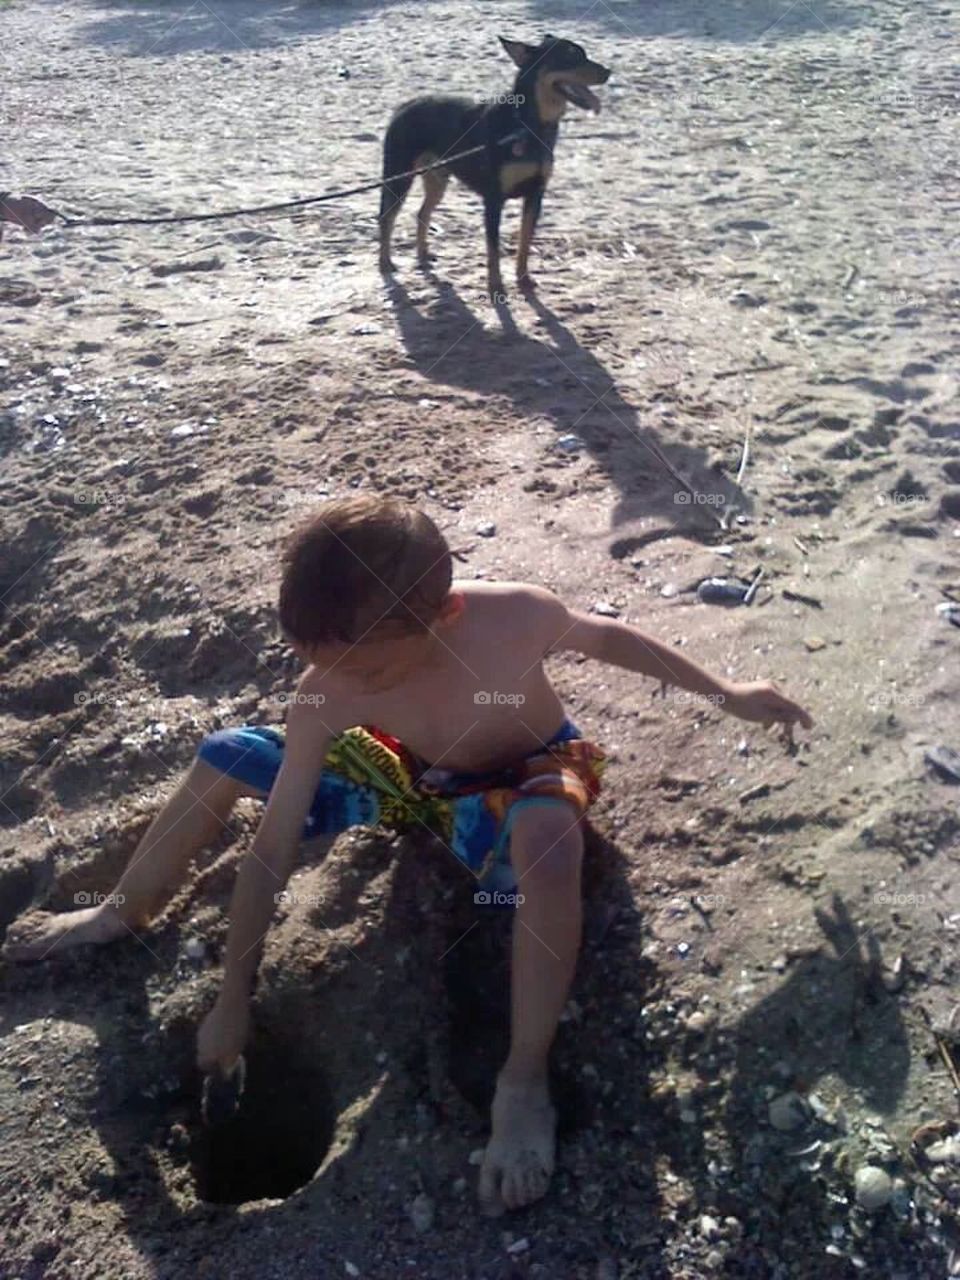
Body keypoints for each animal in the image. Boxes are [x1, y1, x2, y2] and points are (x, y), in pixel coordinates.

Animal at [378, 36, 611, 299]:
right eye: (571, 56)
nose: (608, 72)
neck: (527, 125)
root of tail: (405, 105)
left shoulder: (535, 195)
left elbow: (524, 242)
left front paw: (524, 278)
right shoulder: (493, 199)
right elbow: (493, 248)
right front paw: (496, 286)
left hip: (437, 178)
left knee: (422, 213)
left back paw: (423, 254)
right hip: (398, 175)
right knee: (386, 217)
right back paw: (385, 262)